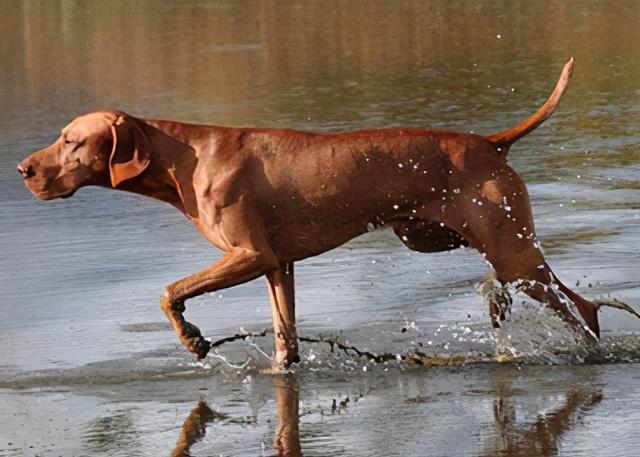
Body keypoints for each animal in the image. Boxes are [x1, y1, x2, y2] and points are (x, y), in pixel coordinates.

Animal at [16, 58, 604, 368]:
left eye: (71, 140)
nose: (23, 168)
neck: (187, 157)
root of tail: (491, 142)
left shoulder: (249, 255)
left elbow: (167, 291)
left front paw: (193, 339)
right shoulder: (279, 265)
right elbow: (286, 338)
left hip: (512, 255)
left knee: (583, 308)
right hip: (445, 238)